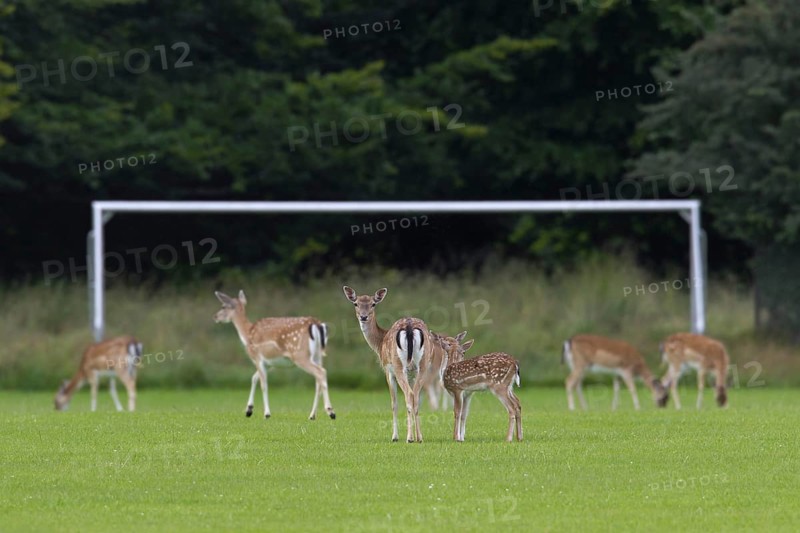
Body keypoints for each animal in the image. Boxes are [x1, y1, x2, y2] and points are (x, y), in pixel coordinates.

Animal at [213, 290, 335, 421]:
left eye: (223, 306)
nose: (215, 317)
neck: (247, 334)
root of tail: (317, 324)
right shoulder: (270, 363)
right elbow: (254, 378)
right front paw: (249, 410)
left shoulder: (257, 357)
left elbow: (264, 384)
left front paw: (266, 414)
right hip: (318, 355)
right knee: (318, 380)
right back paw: (312, 415)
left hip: (300, 354)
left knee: (321, 373)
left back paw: (331, 412)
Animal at [342, 286, 433, 443]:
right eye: (356, 303)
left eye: (373, 304)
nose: (363, 317)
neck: (380, 342)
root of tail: (409, 327)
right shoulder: (412, 373)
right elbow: (416, 400)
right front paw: (417, 436)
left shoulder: (388, 370)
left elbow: (394, 404)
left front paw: (395, 437)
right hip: (423, 366)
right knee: (415, 396)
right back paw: (419, 438)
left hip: (398, 365)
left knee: (408, 395)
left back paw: (409, 438)